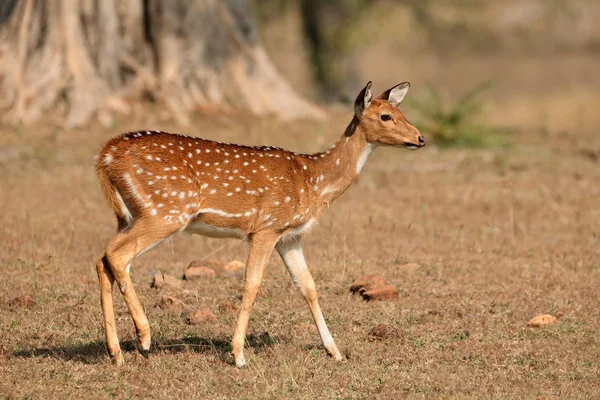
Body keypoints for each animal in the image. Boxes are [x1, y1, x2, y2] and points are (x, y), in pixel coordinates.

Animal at [94, 81, 424, 368]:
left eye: (402, 112)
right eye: (385, 116)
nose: (420, 138)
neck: (314, 182)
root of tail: (105, 156)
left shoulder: (290, 236)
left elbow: (308, 286)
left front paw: (335, 351)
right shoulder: (266, 226)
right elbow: (252, 283)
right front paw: (239, 356)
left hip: (130, 216)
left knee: (103, 259)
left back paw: (116, 353)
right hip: (167, 211)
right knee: (117, 257)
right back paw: (144, 338)